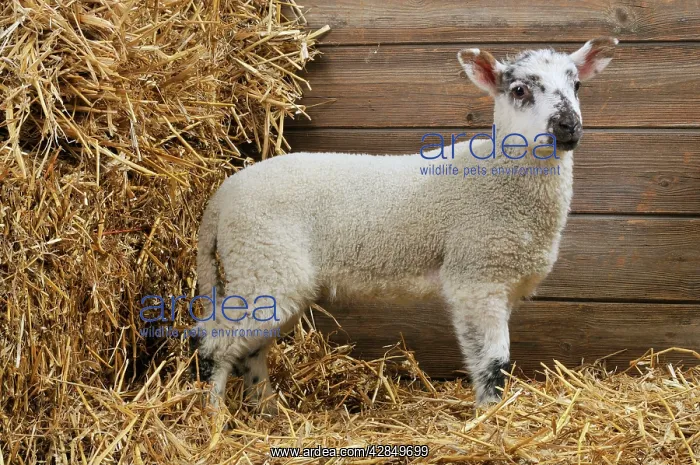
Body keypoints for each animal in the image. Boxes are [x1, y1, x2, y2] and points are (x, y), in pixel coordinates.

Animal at [190, 37, 618, 412]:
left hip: (269, 274)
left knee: (251, 350)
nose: (568, 126)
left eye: (577, 85)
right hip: (263, 261)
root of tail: (221, 199)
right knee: (215, 346)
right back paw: (213, 419)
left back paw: (266, 413)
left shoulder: (503, 280)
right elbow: (492, 361)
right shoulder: (477, 276)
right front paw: (490, 417)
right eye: (519, 90)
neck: (500, 178)